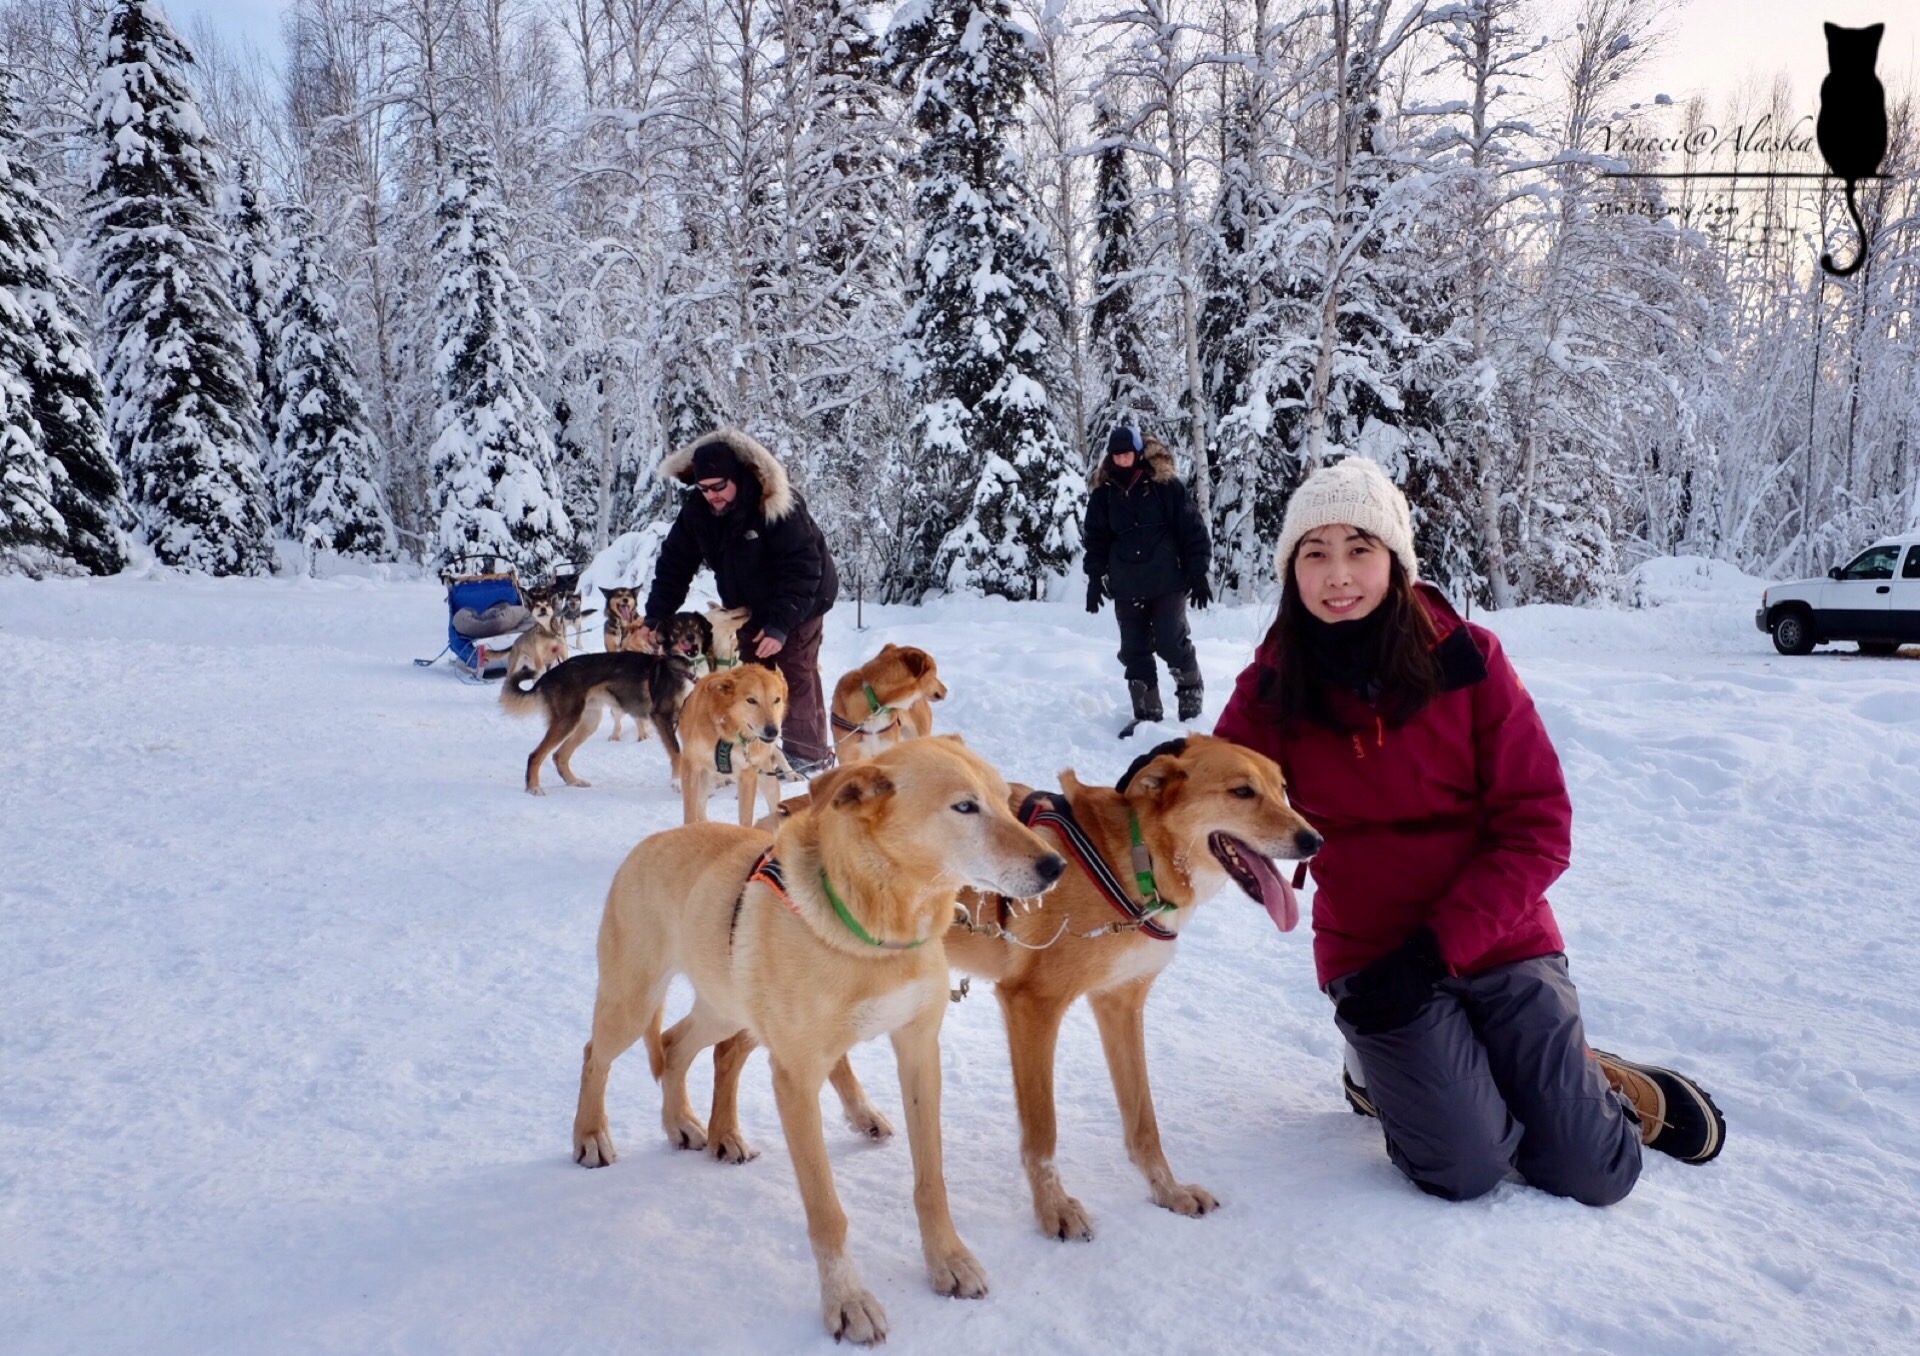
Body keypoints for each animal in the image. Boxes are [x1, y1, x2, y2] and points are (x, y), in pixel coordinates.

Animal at [568, 737, 1075, 1344]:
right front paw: (847, 1301)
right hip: (633, 1002)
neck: (878, 932)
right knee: (596, 1054)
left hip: (723, 1007)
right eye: (965, 807)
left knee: (674, 1043)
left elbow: (931, 1181)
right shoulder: (796, 1080)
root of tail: (647, 844)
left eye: (1002, 799)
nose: (1055, 866)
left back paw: (683, 1123)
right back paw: (591, 1136)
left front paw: (948, 1260)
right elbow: (827, 1212)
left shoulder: (918, 1052)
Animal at [675, 664, 802, 822]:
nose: (772, 731)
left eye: (776, 700)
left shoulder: (747, 775)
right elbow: (691, 815)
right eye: (751, 700)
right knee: (700, 807)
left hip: (766, 782)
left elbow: (746, 818)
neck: (728, 736)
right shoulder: (690, 765)